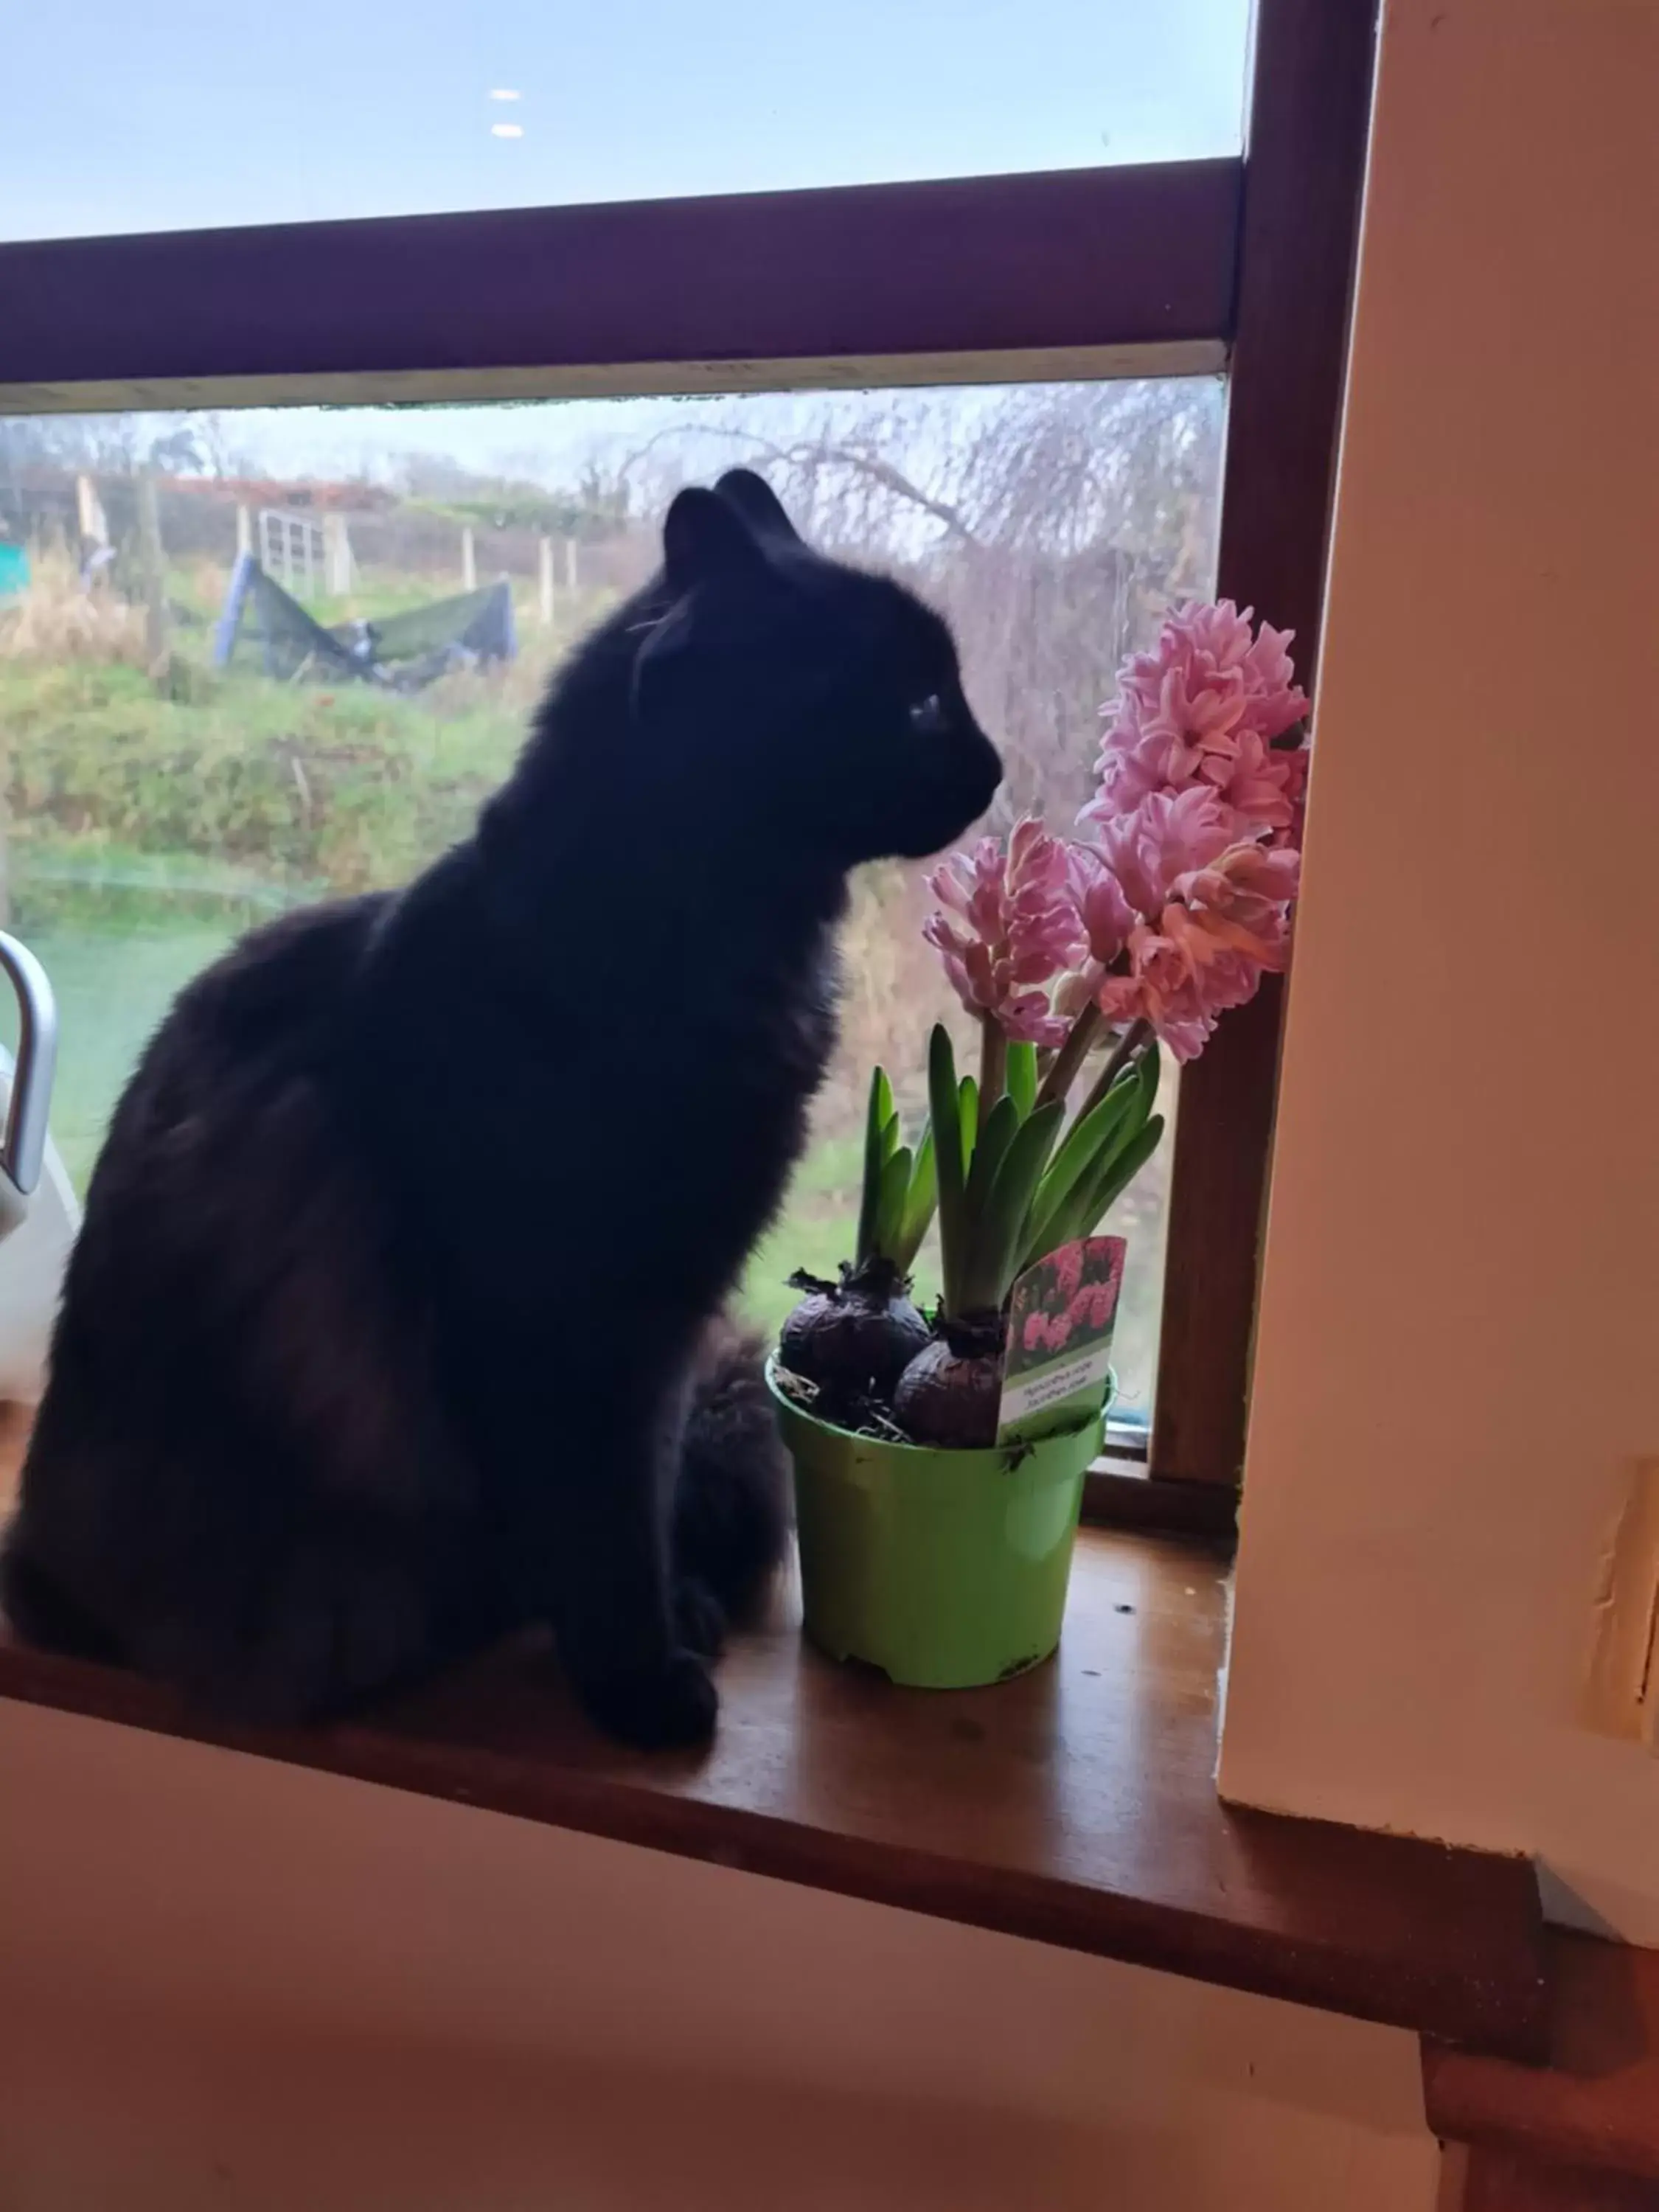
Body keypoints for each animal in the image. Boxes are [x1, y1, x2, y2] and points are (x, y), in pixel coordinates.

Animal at [0, 480, 1000, 1743]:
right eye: (920, 702)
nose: (995, 764)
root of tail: (33, 1572)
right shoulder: (572, 1328)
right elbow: (603, 1527)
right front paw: (638, 1684)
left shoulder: (662, 1330)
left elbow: (634, 1507)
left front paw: (658, 1635)